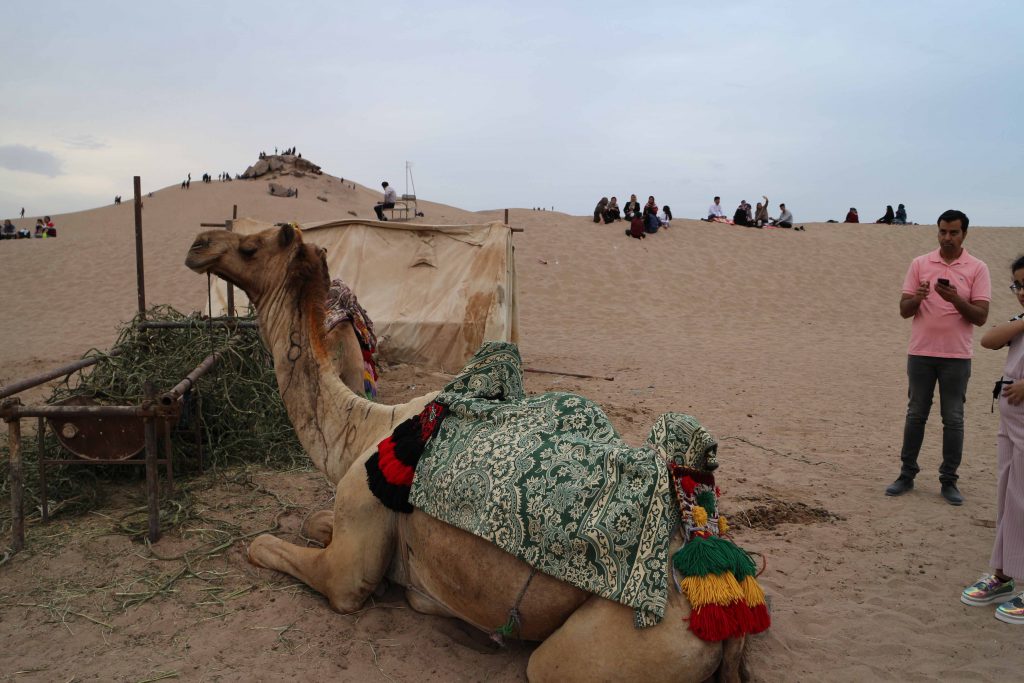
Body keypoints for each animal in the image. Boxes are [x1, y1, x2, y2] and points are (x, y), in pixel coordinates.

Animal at [182, 225, 745, 683]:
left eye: (252, 245)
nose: (198, 243)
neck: (362, 430)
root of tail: (726, 592)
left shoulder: (349, 558)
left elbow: (266, 546)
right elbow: (313, 521)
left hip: (624, 643)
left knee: (547, 666)